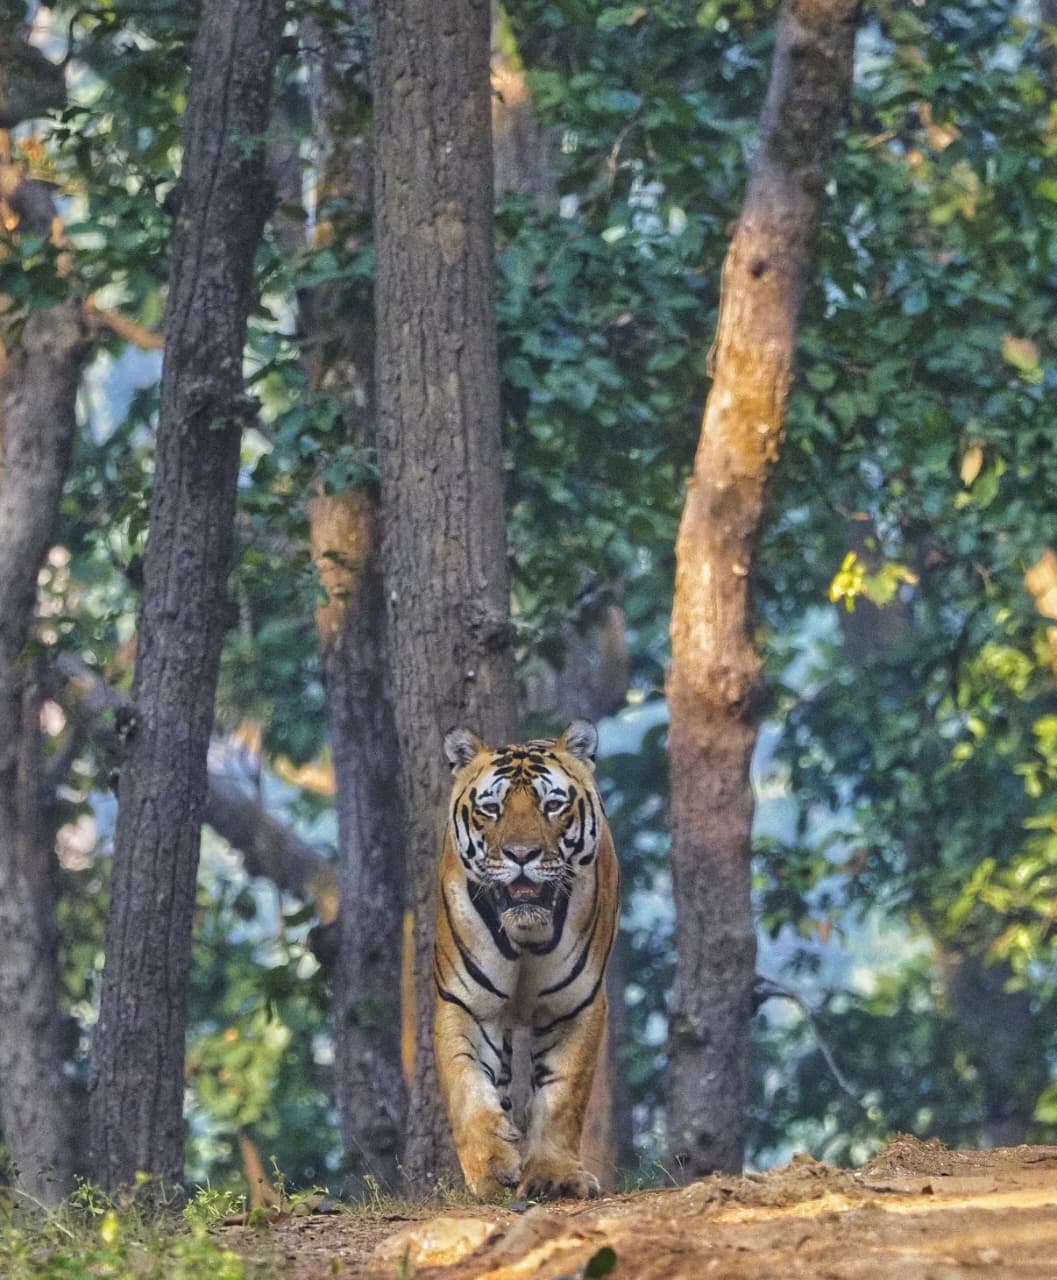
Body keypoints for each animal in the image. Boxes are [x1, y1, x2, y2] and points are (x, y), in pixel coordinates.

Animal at [434, 719, 619, 1200]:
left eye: (552, 805)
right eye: (491, 809)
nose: (521, 855)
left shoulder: (574, 1006)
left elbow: (561, 1096)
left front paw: (554, 1175)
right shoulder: (468, 1004)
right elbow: (467, 1085)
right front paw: (492, 1167)